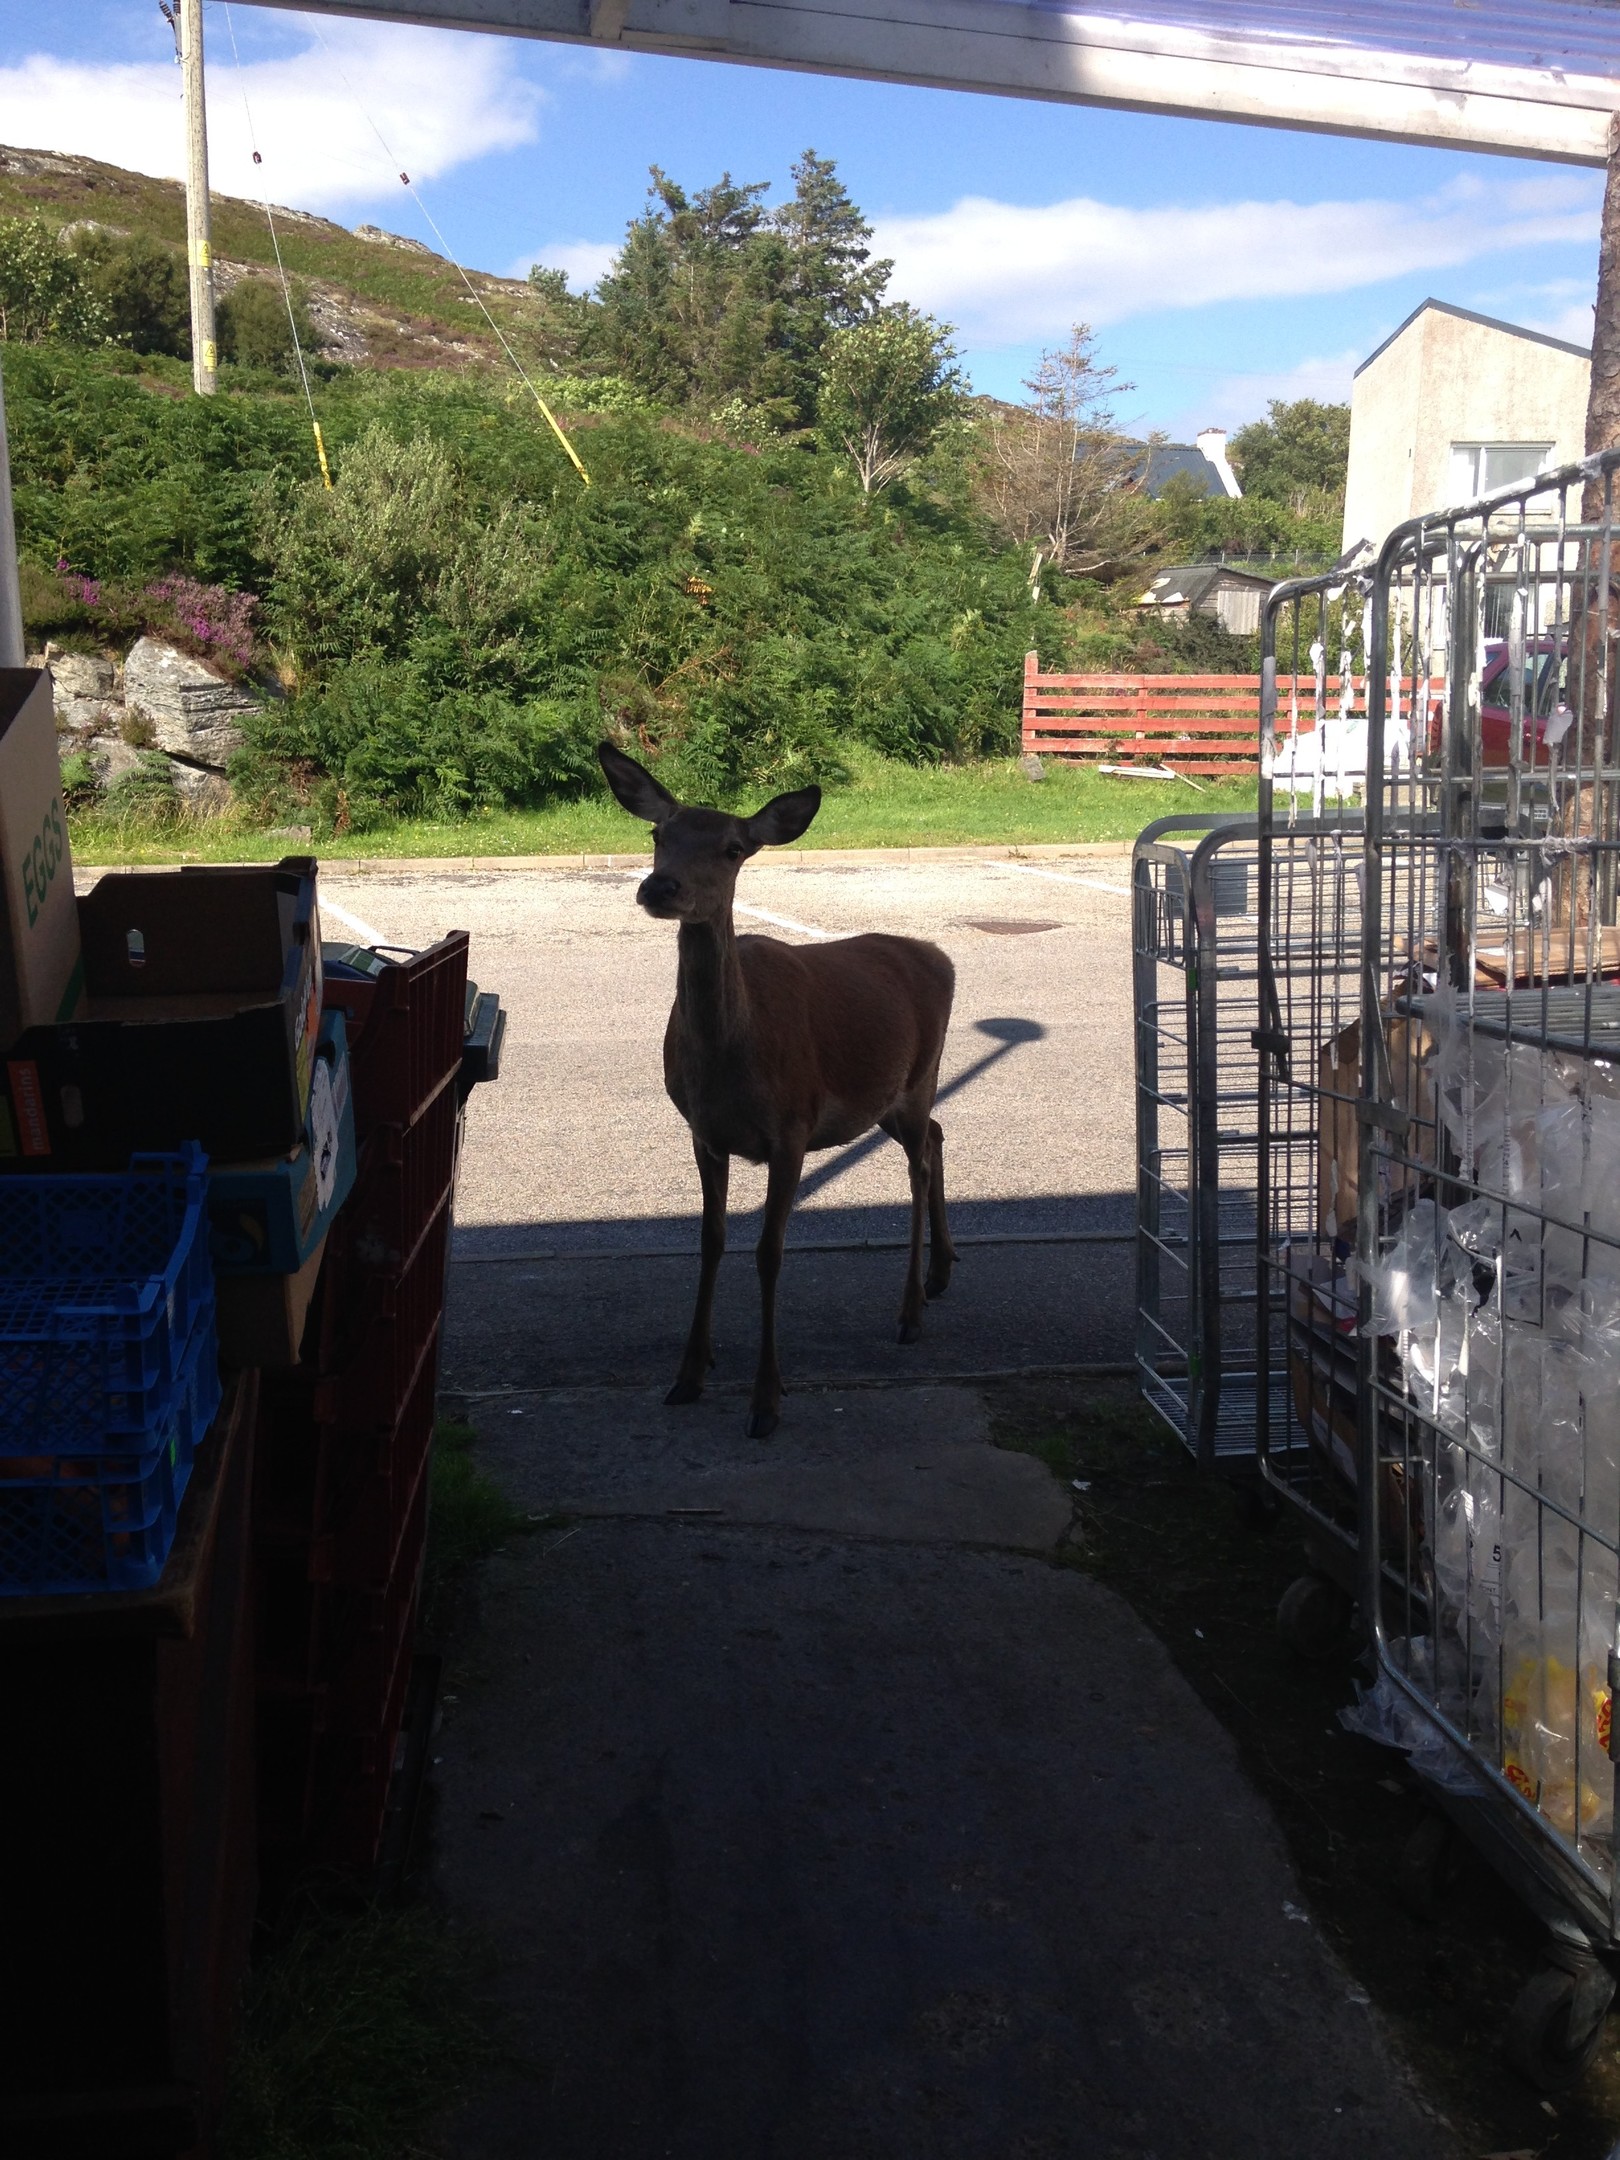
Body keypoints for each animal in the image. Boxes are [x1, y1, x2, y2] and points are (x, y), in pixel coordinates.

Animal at [604, 743, 959, 1434]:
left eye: (734, 848)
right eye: (659, 835)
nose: (662, 887)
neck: (730, 1064)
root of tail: (940, 957)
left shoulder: (792, 1127)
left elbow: (769, 1251)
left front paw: (766, 1399)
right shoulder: (703, 1133)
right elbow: (710, 1242)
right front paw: (690, 1372)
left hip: (919, 1074)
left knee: (920, 1163)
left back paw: (910, 1311)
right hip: (888, 1099)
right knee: (935, 1133)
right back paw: (939, 1276)